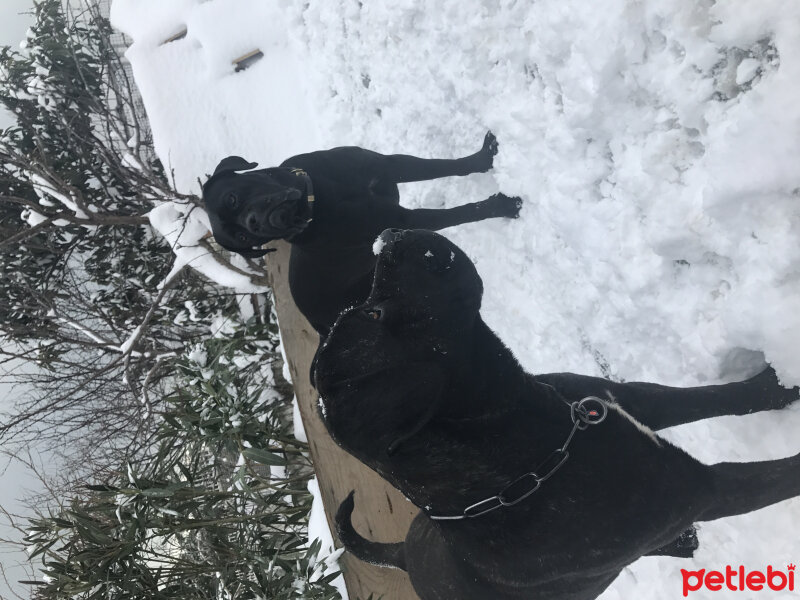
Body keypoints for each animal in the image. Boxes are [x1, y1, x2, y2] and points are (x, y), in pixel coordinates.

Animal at [203, 133, 520, 336]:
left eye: (231, 198)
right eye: (245, 238)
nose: (254, 223)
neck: (317, 197)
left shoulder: (387, 165)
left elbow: (443, 166)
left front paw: (484, 157)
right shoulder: (400, 218)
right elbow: (460, 213)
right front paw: (502, 205)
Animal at [312, 230, 800, 600]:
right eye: (373, 313)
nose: (388, 235)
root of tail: (404, 557)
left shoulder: (619, 400)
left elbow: (716, 397)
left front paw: (779, 383)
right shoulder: (702, 490)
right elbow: (780, 476)